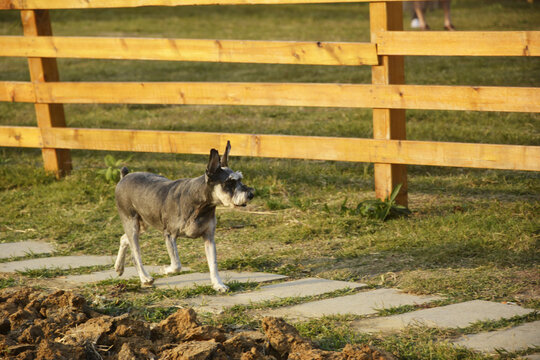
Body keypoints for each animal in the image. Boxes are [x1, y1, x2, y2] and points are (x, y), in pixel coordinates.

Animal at [112, 141, 255, 292]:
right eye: (229, 182)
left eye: (240, 179)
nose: (251, 194)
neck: (201, 204)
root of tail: (124, 177)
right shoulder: (169, 235)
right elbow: (176, 265)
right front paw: (165, 269)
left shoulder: (209, 237)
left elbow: (213, 264)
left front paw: (218, 285)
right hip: (131, 223)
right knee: (135, 254)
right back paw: (145, 278)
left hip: (143, 224)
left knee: (124, 239)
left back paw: (119, 267)